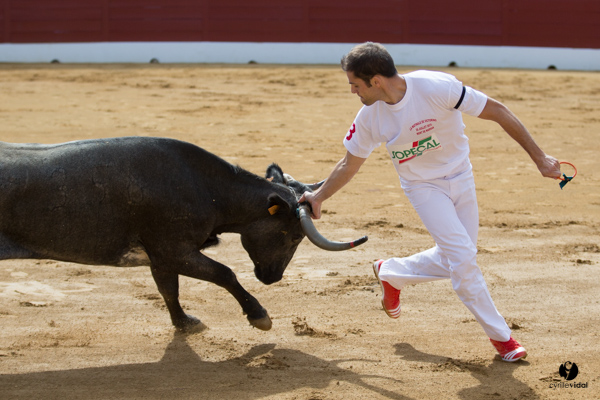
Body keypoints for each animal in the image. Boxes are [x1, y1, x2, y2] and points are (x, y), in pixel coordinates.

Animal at [0, 137, 367, 332]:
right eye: (292, 236)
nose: (272, 278)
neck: (207, 188)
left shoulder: (161, 257)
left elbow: (168, 289)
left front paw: (185, 322)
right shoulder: (174, 250)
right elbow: (224, 273)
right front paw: (259, 316)